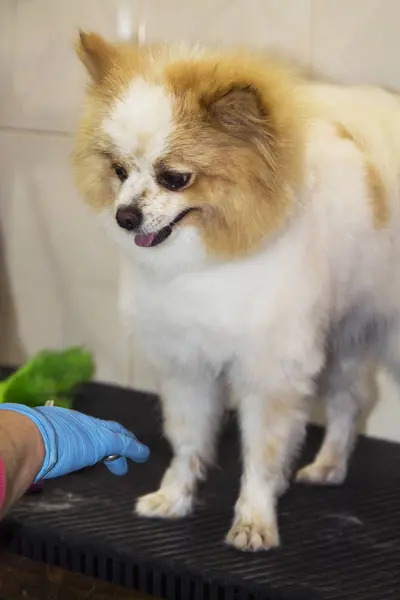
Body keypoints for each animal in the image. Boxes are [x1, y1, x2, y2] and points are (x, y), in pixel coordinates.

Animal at [73, 30, 400, 552]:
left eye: (175, 178)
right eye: (119, 171)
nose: (125, 216)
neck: (208, 264)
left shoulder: (270, 371)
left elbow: (262, 456)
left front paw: (254, 520)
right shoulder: (187, 364)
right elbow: (188, 441)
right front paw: (174, 498)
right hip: (342, 337)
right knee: (351, 399)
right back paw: (329, 466)